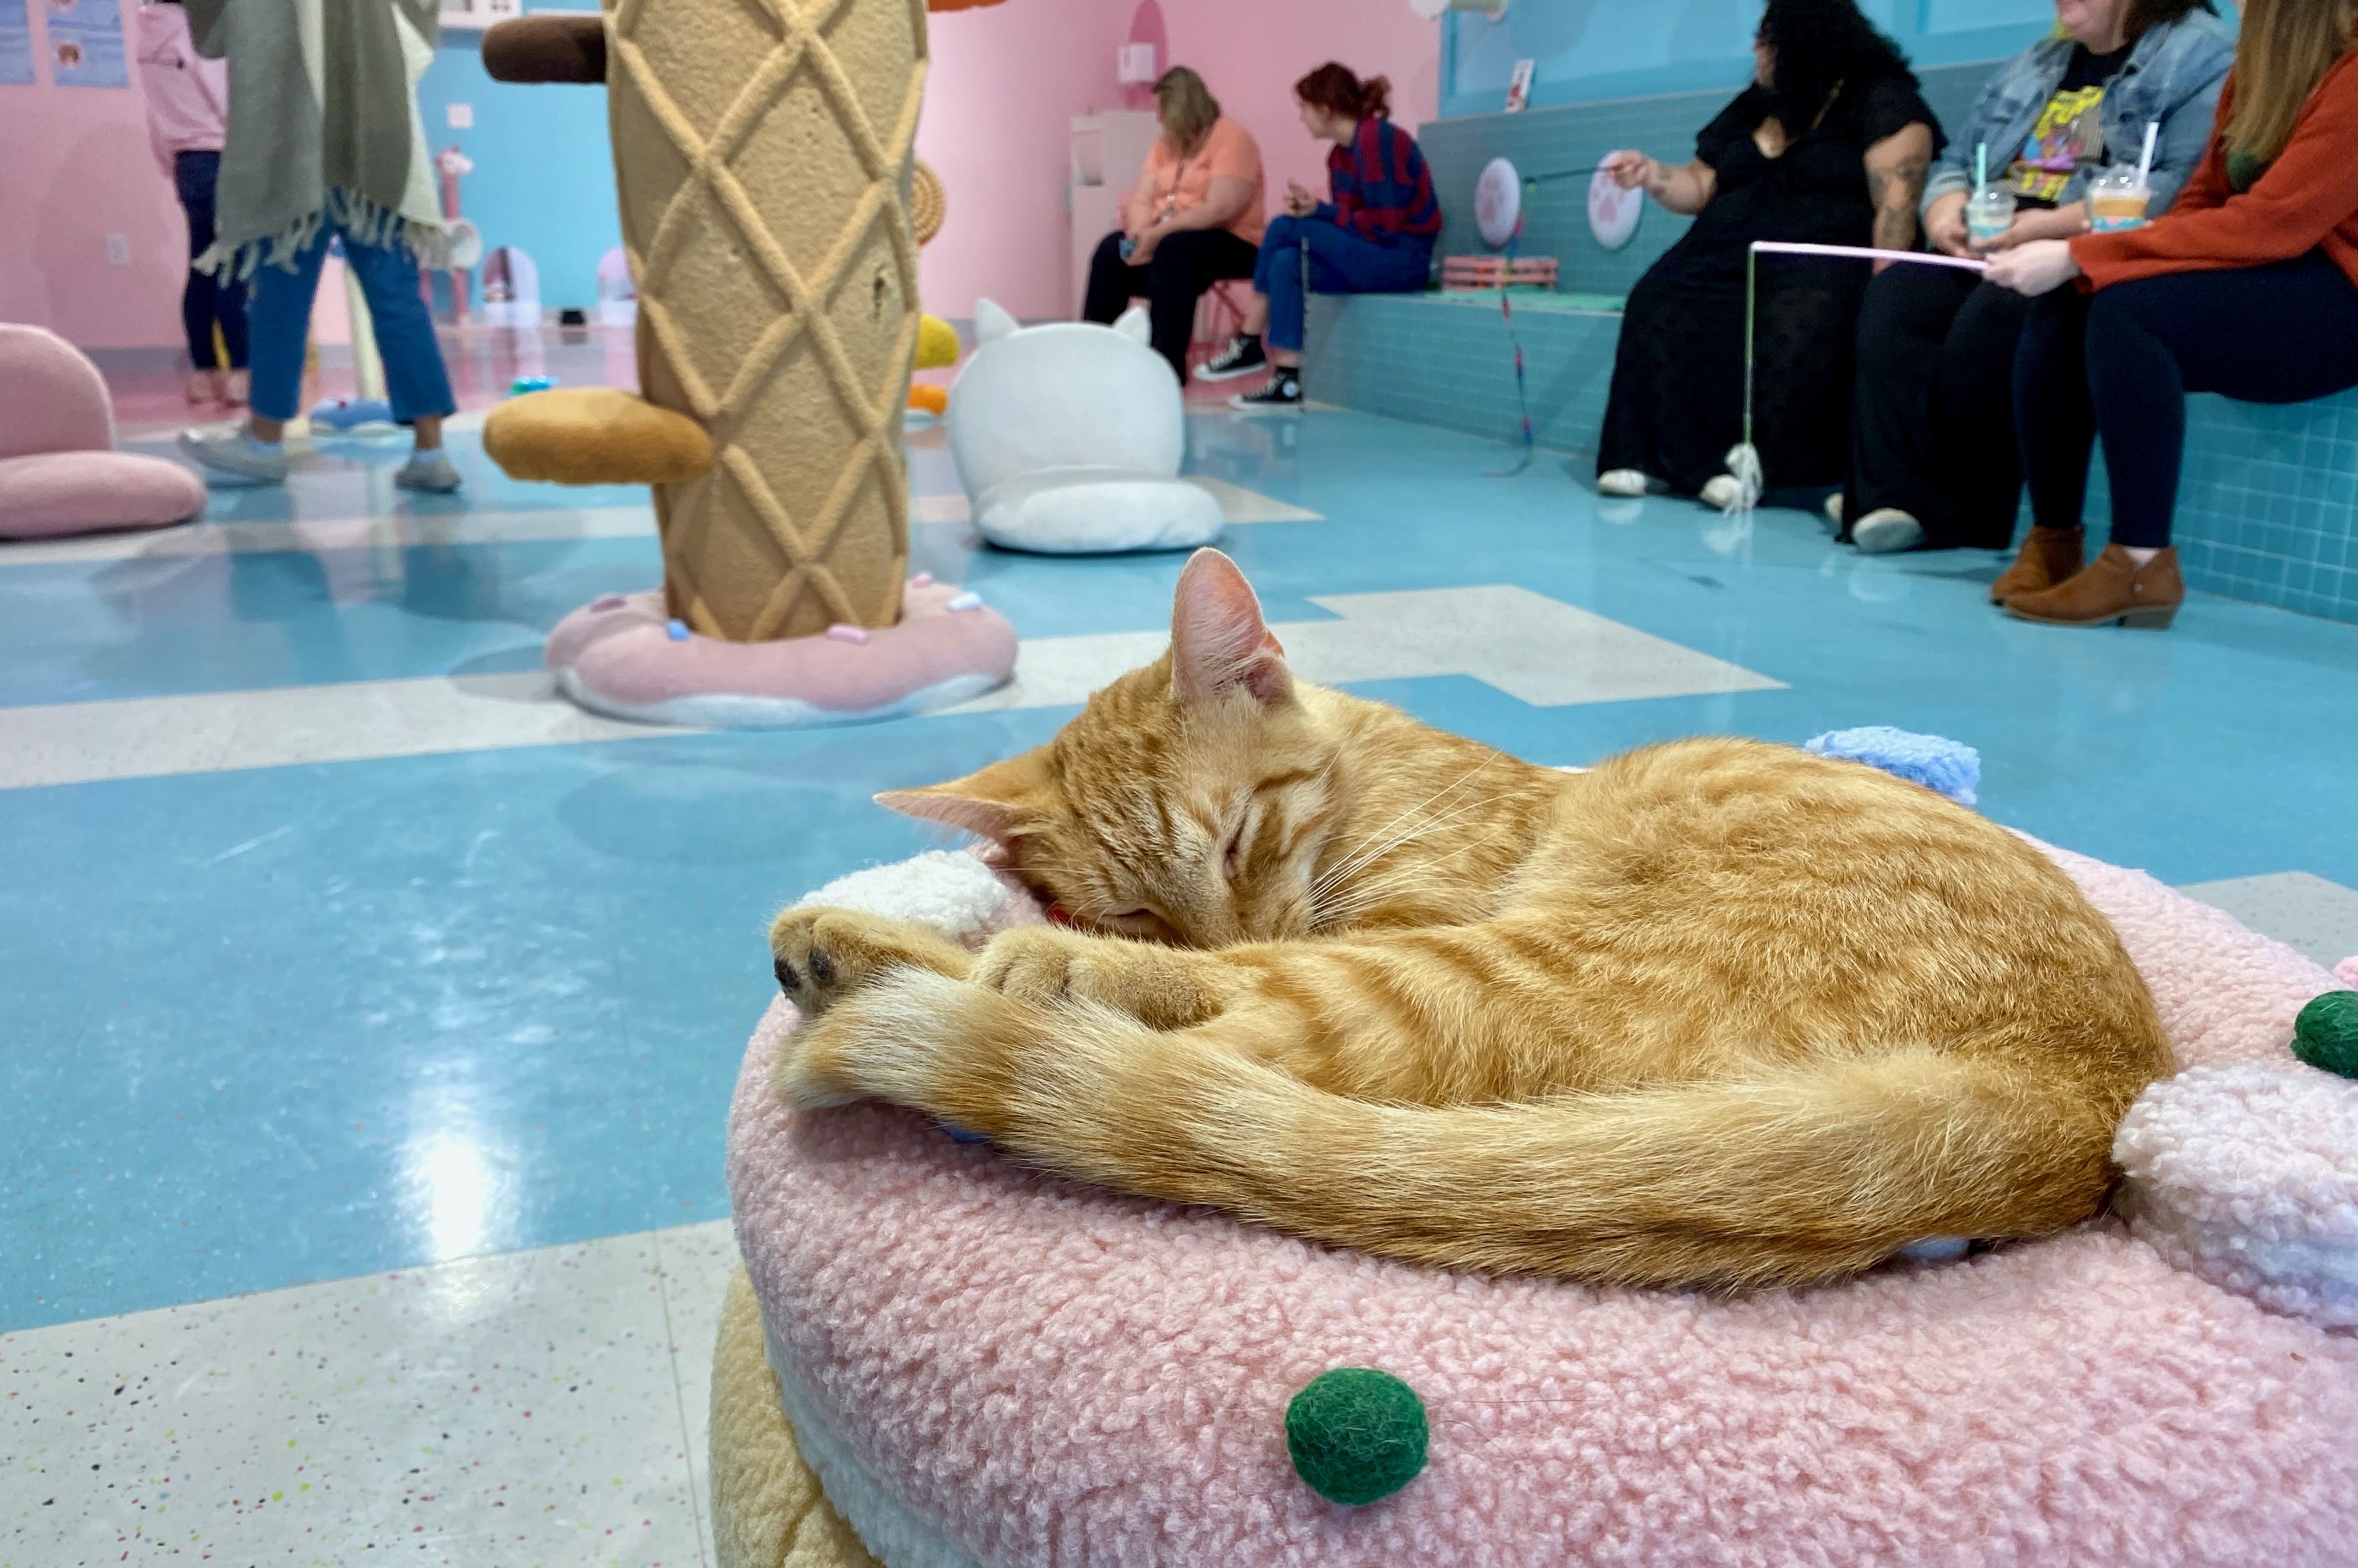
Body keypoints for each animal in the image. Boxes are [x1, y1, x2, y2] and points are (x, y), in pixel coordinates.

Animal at [773, 549, 2169, 1283]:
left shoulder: (1383, 919)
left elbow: (1260, 979)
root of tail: (2089, 1090)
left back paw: (936, 975)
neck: (1368, 767)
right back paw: (840, 954)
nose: (1207, 934)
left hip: (1478, 973)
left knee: (1212, 1062)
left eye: (1235, 838)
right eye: (1135, 906)